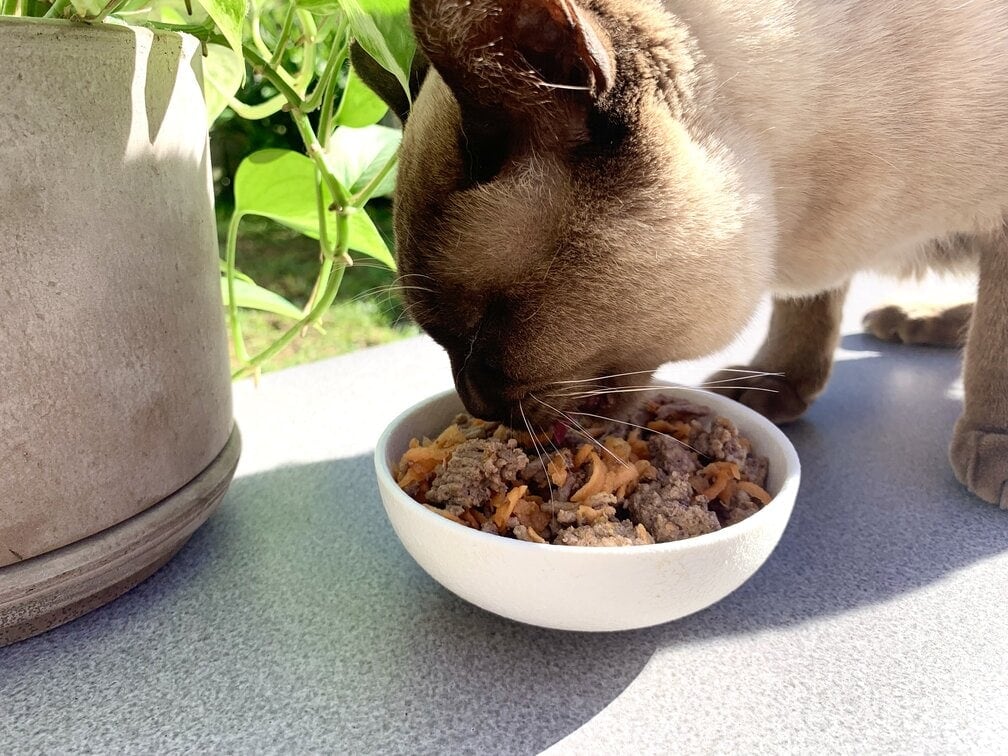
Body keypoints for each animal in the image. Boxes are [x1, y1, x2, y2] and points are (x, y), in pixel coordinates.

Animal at [354, 2, 1008, 510]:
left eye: (482, 329)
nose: (474, 403)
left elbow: (994, 345)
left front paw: (993, 442)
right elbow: (807, 308)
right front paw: (777, 385)